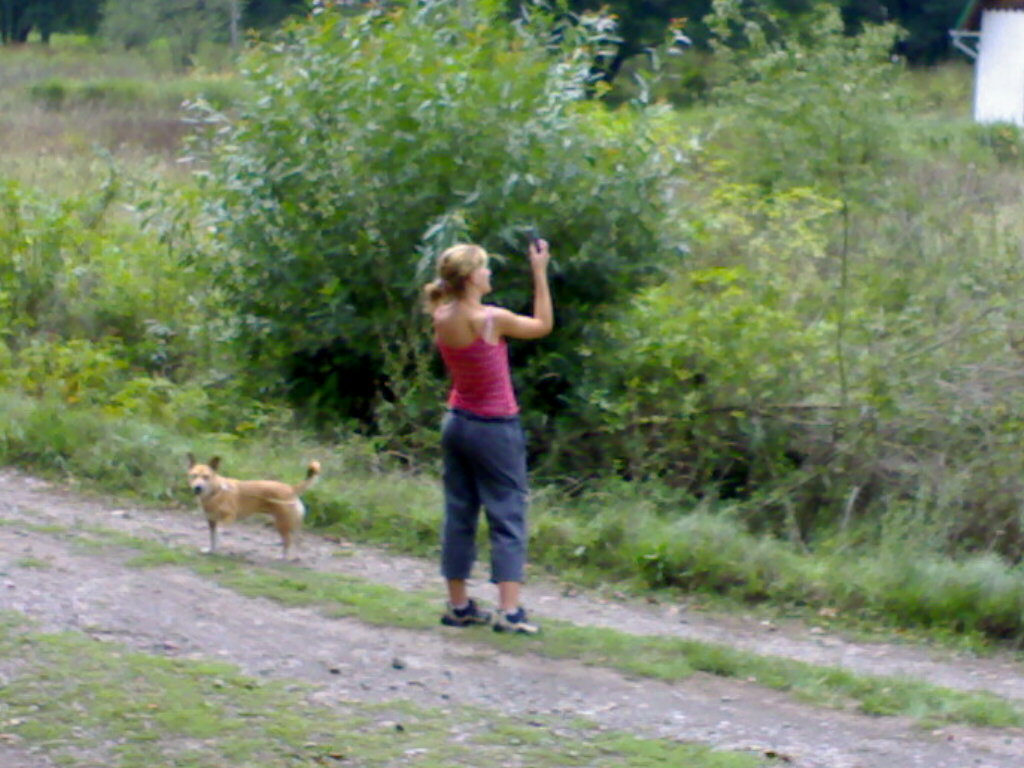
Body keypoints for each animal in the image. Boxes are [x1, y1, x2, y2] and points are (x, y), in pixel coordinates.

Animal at [186, 454, 320, 559]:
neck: (216, 491)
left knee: (288, 542)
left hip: (282, 525)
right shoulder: (211, 521)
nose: (197, 488)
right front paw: (211, 551)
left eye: (206, 477)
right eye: (194, 476)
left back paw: (282, 557)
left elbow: (219, 532)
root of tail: (291, 489)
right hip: (290, 524)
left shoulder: (228, 518)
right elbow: (213, 538)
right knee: (297, 541)